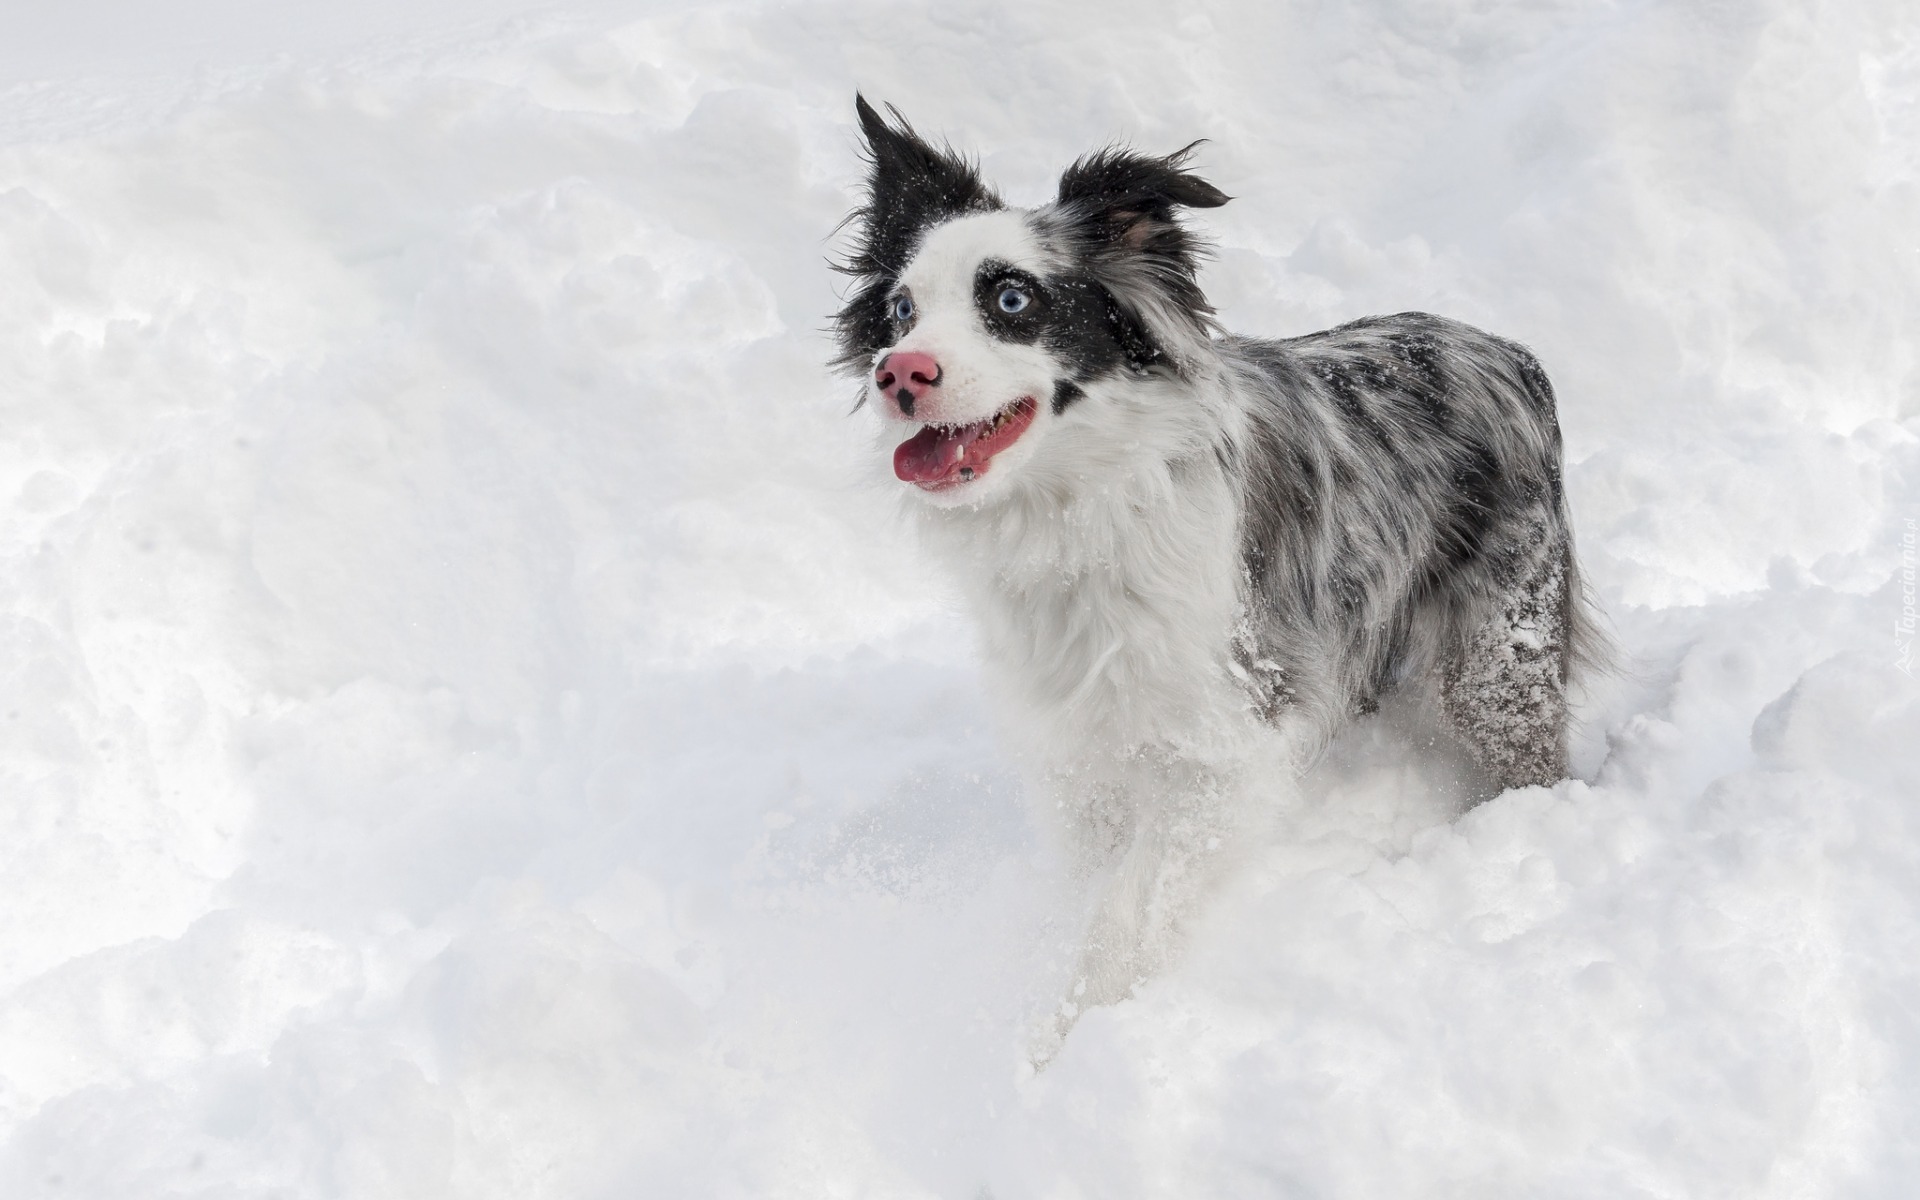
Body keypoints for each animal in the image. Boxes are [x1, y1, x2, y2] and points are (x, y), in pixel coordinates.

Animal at [833, 93, 1597, 1044]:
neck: (1084, 510)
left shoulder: (1225, 739)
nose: (899, 372)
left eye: (1011, 297)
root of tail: (1505, 349)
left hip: (1498, 653)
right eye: (902, 309)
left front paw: (1064, 1046)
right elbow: (1095, 877)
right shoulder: (1080, 751)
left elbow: (1124, 912)